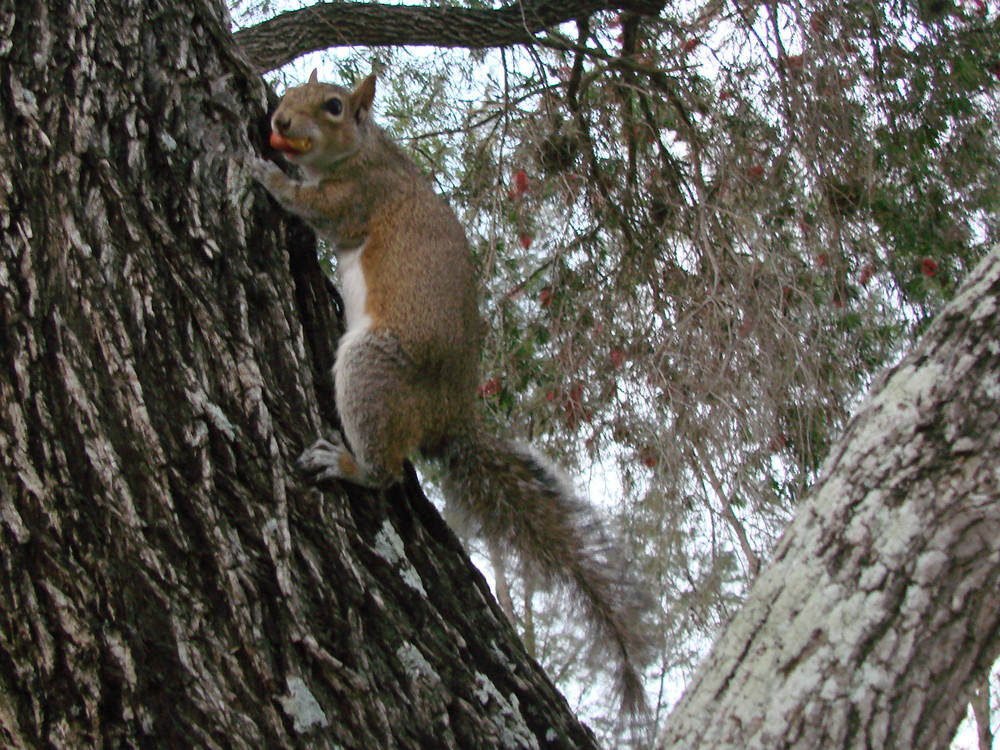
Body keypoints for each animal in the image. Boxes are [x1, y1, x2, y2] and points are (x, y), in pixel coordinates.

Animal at [242, 72, 648, 716]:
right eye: (292, 96)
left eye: (334, 106)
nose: (278, 123)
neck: (367, 152)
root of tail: (450, 415)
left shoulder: (360, 196)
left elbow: (315, 208)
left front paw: (263, 169)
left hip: (373, 370)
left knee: (385, 470)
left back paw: (348, 463)